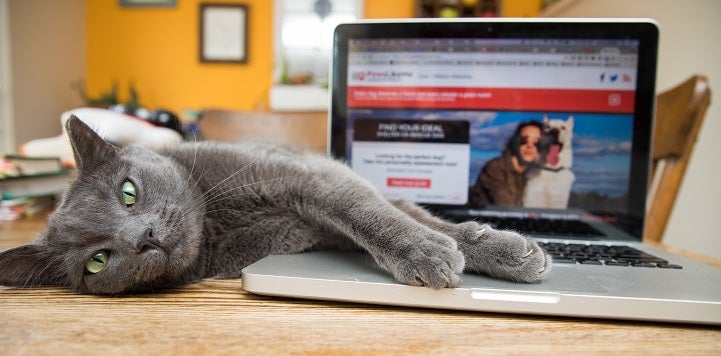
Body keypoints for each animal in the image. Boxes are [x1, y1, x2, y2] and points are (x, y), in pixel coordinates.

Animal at [0, 117, 552, 294]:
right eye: (97, 261)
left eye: (128, 192)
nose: (144, 238)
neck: (216, 220)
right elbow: (382, 218)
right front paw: (438, 252)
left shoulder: (309, 177)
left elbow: (375, 215)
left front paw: (495, 252)